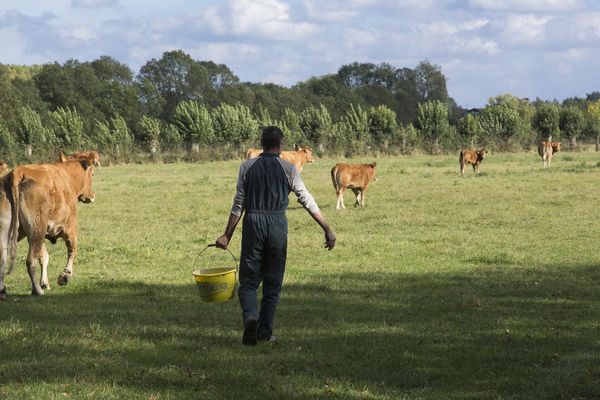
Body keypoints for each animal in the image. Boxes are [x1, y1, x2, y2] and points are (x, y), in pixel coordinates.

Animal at [0, 156, 95, 300]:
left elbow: (44, 257)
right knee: (30, 261)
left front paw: (44, 282)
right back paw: (37, 290)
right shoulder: (70, 228)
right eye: (93, 174)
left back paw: (3, 291)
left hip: (13, 230)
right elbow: (72, 250)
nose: (92, 195)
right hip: (36, 228)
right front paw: (65, 276)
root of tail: (19, 172)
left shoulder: (41, 235)